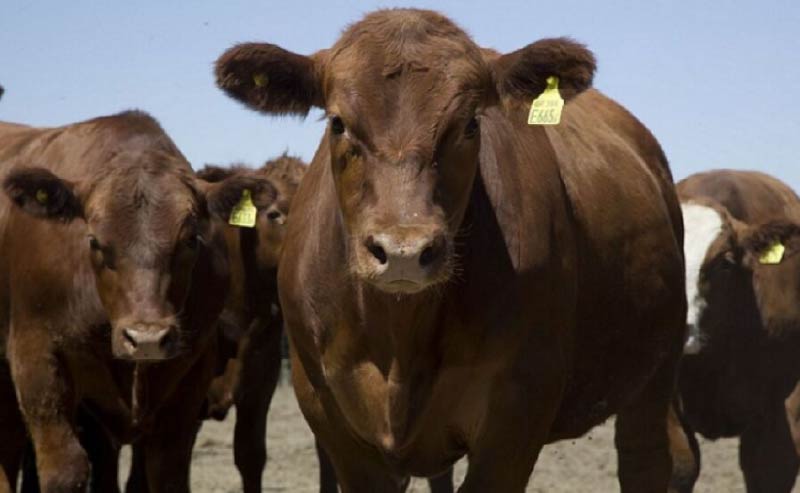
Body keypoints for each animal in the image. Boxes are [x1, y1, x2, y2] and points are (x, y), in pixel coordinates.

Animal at [0, 110, 273, 493]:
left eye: (191, 239)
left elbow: (167, 472)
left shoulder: (190, 374)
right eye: (95, 241)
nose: (146, 339)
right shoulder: (37, 358)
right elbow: (65, 469)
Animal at [215, 8, 686, 492]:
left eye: (471, 124)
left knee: (645, 458)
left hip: (658, 367)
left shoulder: (518, 412)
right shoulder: (328, 413)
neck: (400, 340)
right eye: (337, 123)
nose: (403, 250)